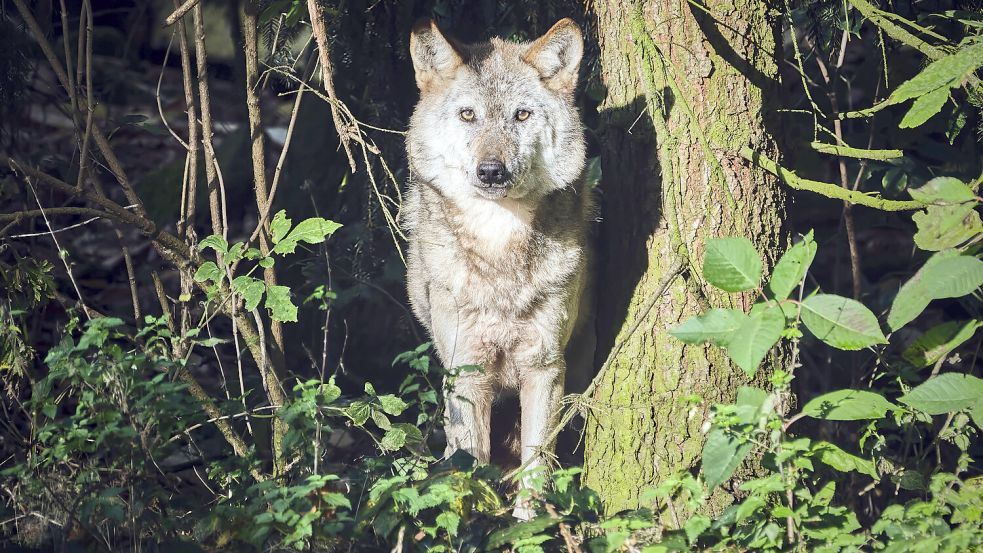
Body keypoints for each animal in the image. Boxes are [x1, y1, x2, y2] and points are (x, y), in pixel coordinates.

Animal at [402, 17, 588, 490]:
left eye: (521, 115)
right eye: (468, 114)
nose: (491, 171)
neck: (498, 246)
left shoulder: (545, 368)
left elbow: (537, 466)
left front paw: (529, 511)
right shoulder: (466, 369)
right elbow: (470, 462)